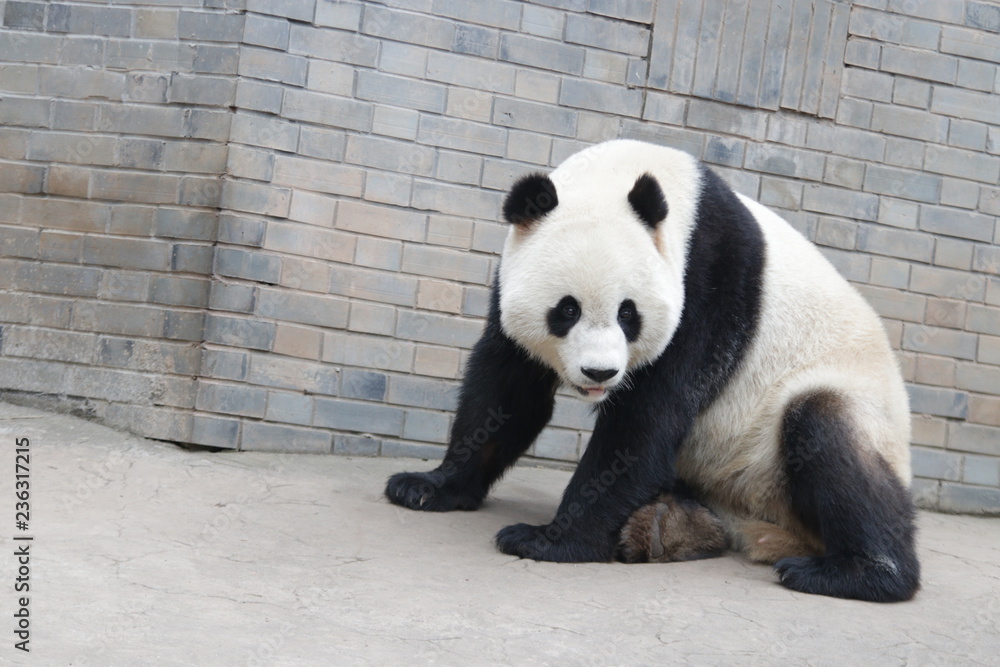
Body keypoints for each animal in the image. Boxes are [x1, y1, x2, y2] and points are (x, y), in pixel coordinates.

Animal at [386, 139, 920, 603]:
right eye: (566, 310)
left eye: (628, 313)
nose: (599, 373)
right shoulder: (511, 284)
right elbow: (507, 393)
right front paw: (428, 487)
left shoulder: (706, 292)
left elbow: (645, 421)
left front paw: (549, 539)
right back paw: (668, 528)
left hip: (835, 410)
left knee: (828, 436)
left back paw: (858, 573)